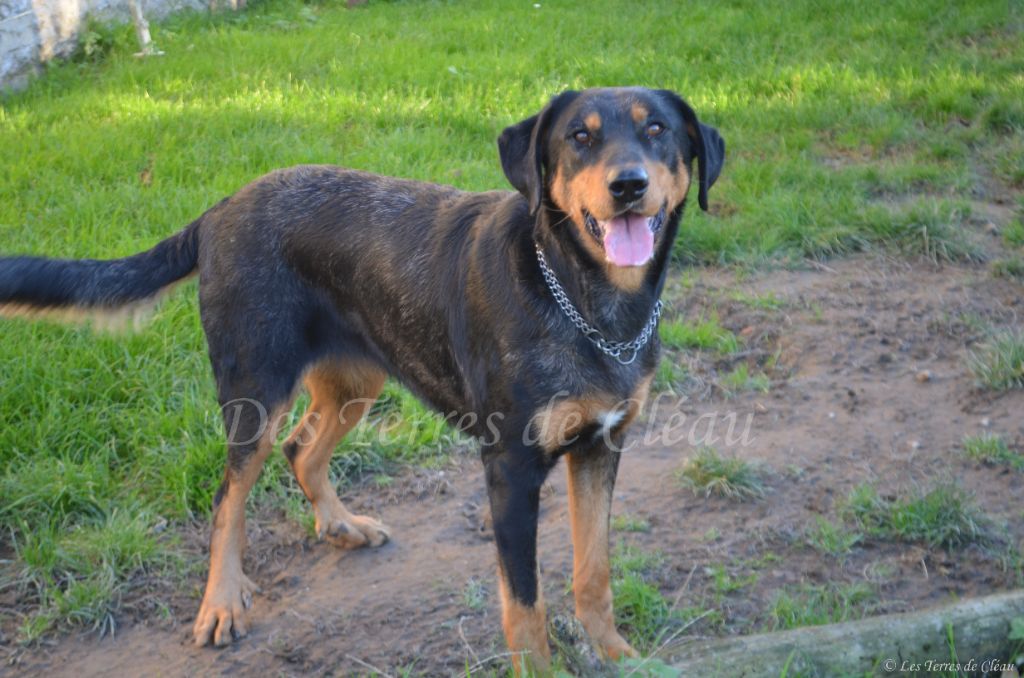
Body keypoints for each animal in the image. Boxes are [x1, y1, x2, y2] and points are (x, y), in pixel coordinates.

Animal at [0, 86, 724, 675]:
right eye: (579, 137)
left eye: (656, 128)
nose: (628, 185)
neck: (585, 299)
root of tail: (219, 209)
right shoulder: (510, 470)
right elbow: (525, 607)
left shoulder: (602, 446)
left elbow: (594, 573)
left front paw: (618, 655)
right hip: (255, 387)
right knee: (228, 496)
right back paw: (222, 603)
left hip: (355, 381)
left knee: (301, 449)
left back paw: (341, 526)